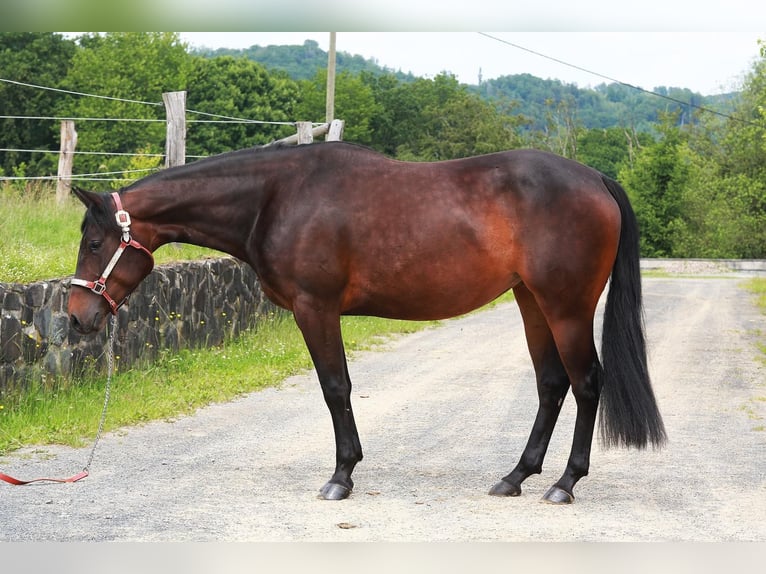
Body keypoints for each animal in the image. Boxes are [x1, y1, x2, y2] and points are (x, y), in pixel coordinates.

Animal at [67, 141, 666, 504]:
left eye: (94, 242)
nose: (76, 317)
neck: (275, 197)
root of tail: (595, 179)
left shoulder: (316, 308)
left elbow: (336, 388)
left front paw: (341, 476)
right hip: (531, 302)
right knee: (551, 384)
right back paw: (515, 476)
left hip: (565, 306)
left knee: (586, 383)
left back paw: (565, 483)